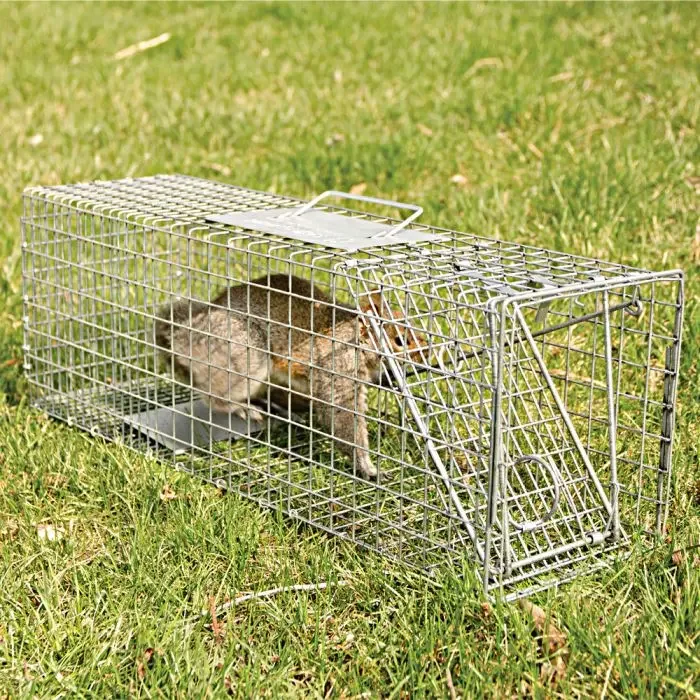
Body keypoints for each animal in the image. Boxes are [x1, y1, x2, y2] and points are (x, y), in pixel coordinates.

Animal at [154, 274, 426, 480]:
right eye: (401, 341)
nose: (428, 353)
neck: (353, 339)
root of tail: (188, 332)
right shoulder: (338, 371)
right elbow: (344, 419)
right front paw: (368, 468)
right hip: (247, 357)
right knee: (213, 396)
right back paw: (243, 408)